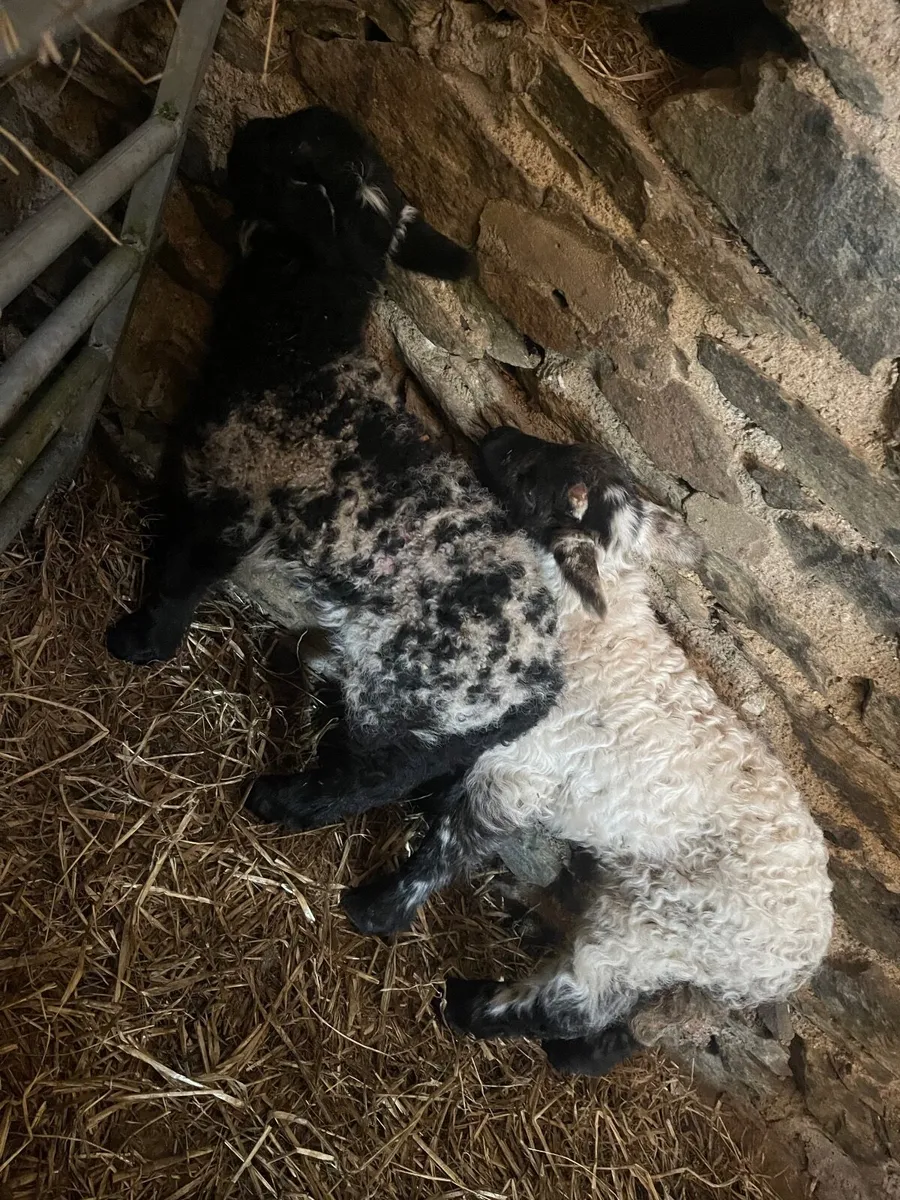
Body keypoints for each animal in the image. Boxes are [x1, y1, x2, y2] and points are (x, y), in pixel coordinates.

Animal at [105, 109, 563, 831]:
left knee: (368, 776)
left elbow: (183, 575)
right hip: (444, 727)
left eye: (292, 154)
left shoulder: (238, 488)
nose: (244, 128)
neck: (303, 347)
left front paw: (137, 640)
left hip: (416, 696)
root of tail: (541, 690)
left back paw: (278, 799)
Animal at [342, 427, 833, 1074]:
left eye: (537, 478)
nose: (495, 434)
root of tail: (797, 966)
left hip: (657, 928)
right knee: (639, 1023)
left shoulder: (520, 771)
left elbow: (449, 846)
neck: (592, 626)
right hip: (675, 954)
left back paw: (472, 1007)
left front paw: (379, 910)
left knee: (579, 999)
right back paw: (572, 1057)